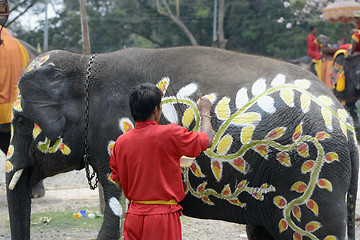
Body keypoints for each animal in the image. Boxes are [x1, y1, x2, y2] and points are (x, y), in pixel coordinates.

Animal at [6, 46, 360, 239]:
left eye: (21, 122)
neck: (84, 63)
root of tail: (346, 122)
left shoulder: (112, 134)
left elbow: (116, 215)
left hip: (314, 178)